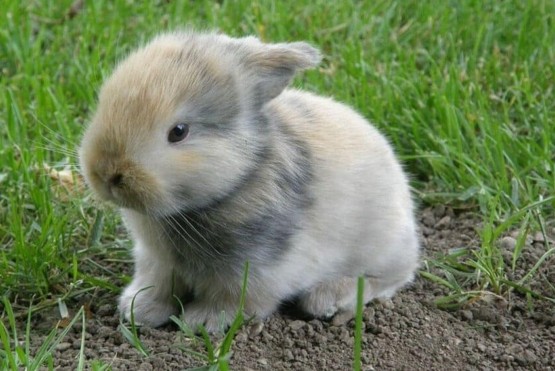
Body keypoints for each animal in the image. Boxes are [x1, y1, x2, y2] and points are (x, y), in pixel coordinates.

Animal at [79, 31, 422, 334]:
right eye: (104, 101)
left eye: (178, 131)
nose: (106, 173)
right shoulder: (156, 261)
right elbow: (159, 285)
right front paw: (138, 309)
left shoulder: (254, 271)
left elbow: (236, 300)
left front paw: (202, 322)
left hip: (383, 248)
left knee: (391, 278)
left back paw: (329, 298)